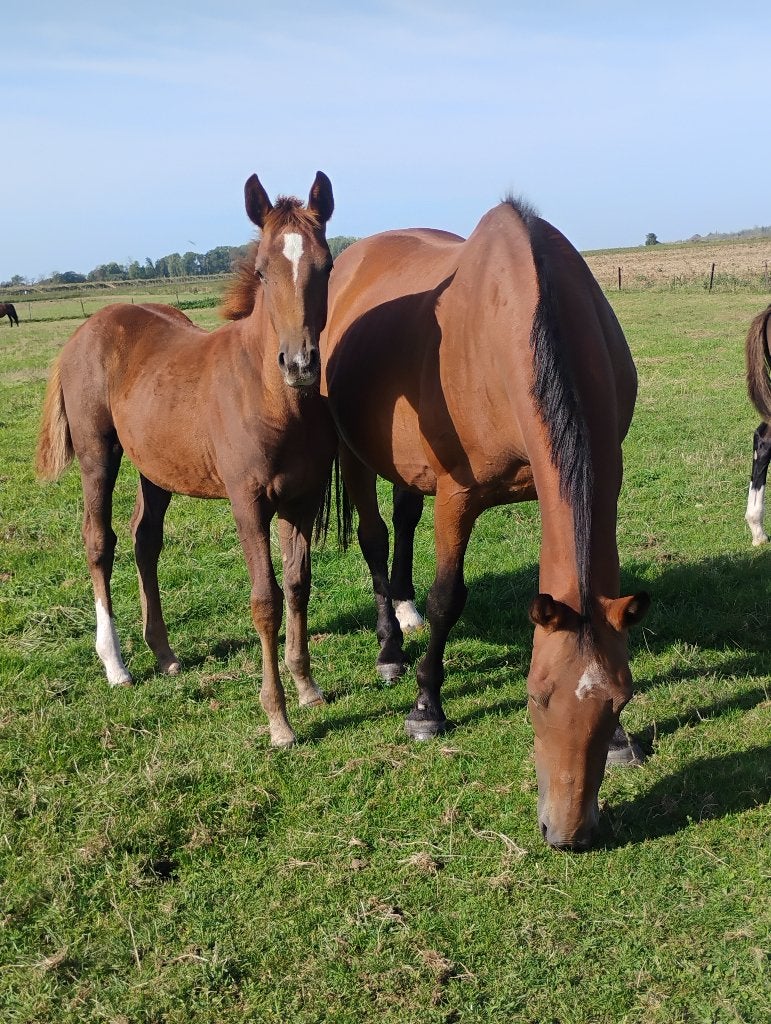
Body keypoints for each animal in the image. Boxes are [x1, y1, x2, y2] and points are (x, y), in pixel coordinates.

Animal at [36, 171, 337, 748]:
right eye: (262, 271)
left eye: (327, 265)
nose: (300, 364)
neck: (270, 396)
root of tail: (84, 331)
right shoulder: (248, 504)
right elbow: (265, 601)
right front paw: (278, 720)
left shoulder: (301, 501)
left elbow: (298, 586)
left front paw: (308, 686)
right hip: (98, 455)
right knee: (98, 541)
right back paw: (116, 664)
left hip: (155, 468)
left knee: (144, 540)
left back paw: (164, 653)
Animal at [321, 197, 649, 850]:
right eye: (536, 698)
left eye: (619, 702)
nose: (567, 833)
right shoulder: (459, 497)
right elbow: (448, 598)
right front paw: (427, 707)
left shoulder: (608, 474)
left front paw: (625, 744)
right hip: (355, 454)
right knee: (375, 538)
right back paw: (390, 647)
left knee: (403, 517)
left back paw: (403, 610)